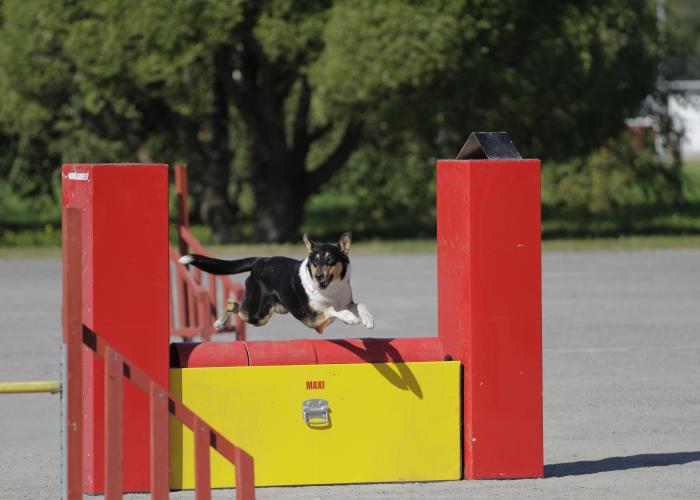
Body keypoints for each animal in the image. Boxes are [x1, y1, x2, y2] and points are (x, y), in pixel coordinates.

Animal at [180, 232, 374, 334]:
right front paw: (351, 318)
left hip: (272, 310)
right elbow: (332, 309)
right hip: (257, 314)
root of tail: (260, 260)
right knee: (232, 303)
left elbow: (360, 305)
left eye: (330, 260)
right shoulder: (314, 319)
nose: (318, 276)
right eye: (314, 261)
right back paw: (219, 324)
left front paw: (368, 319)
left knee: (234, 304)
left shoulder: (346, 302)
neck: (330, 290)